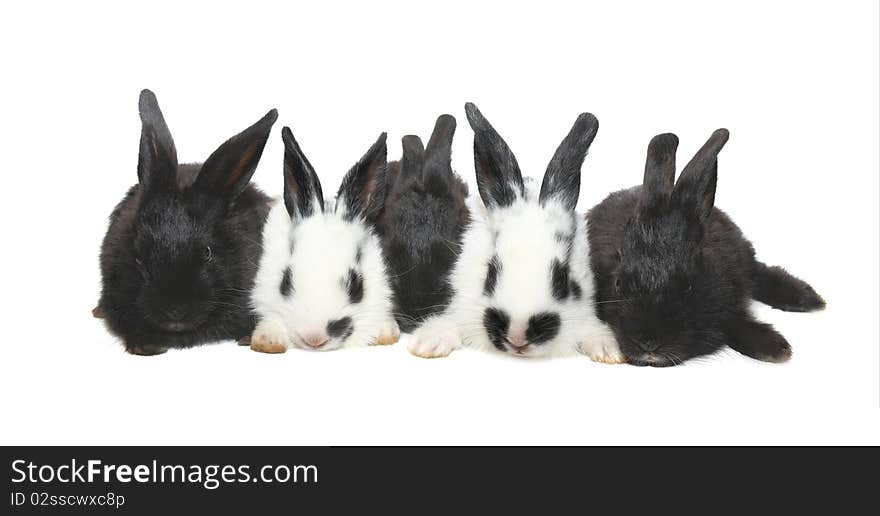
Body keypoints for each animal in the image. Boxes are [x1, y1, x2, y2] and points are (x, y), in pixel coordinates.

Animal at [584, 131, 824, 368]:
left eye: (688, 286)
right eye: (618, 284)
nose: (648, 344)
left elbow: (735, 321)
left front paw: (775, 348)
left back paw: (808, 298)